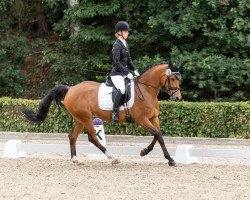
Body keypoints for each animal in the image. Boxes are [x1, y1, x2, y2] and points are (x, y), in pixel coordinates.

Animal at [20, 61, 182, 166]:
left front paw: (149, 152)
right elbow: (157, 135)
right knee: (92, 137)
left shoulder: (153, 118)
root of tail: (71, 88)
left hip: (79, 118)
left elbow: (158, 135)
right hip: (86, 117)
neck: (146, 91)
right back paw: (112, 157)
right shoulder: (142, 120)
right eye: (173, 78)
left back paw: (76, 159)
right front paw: (167, 159)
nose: (177, 98)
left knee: (72, 136)